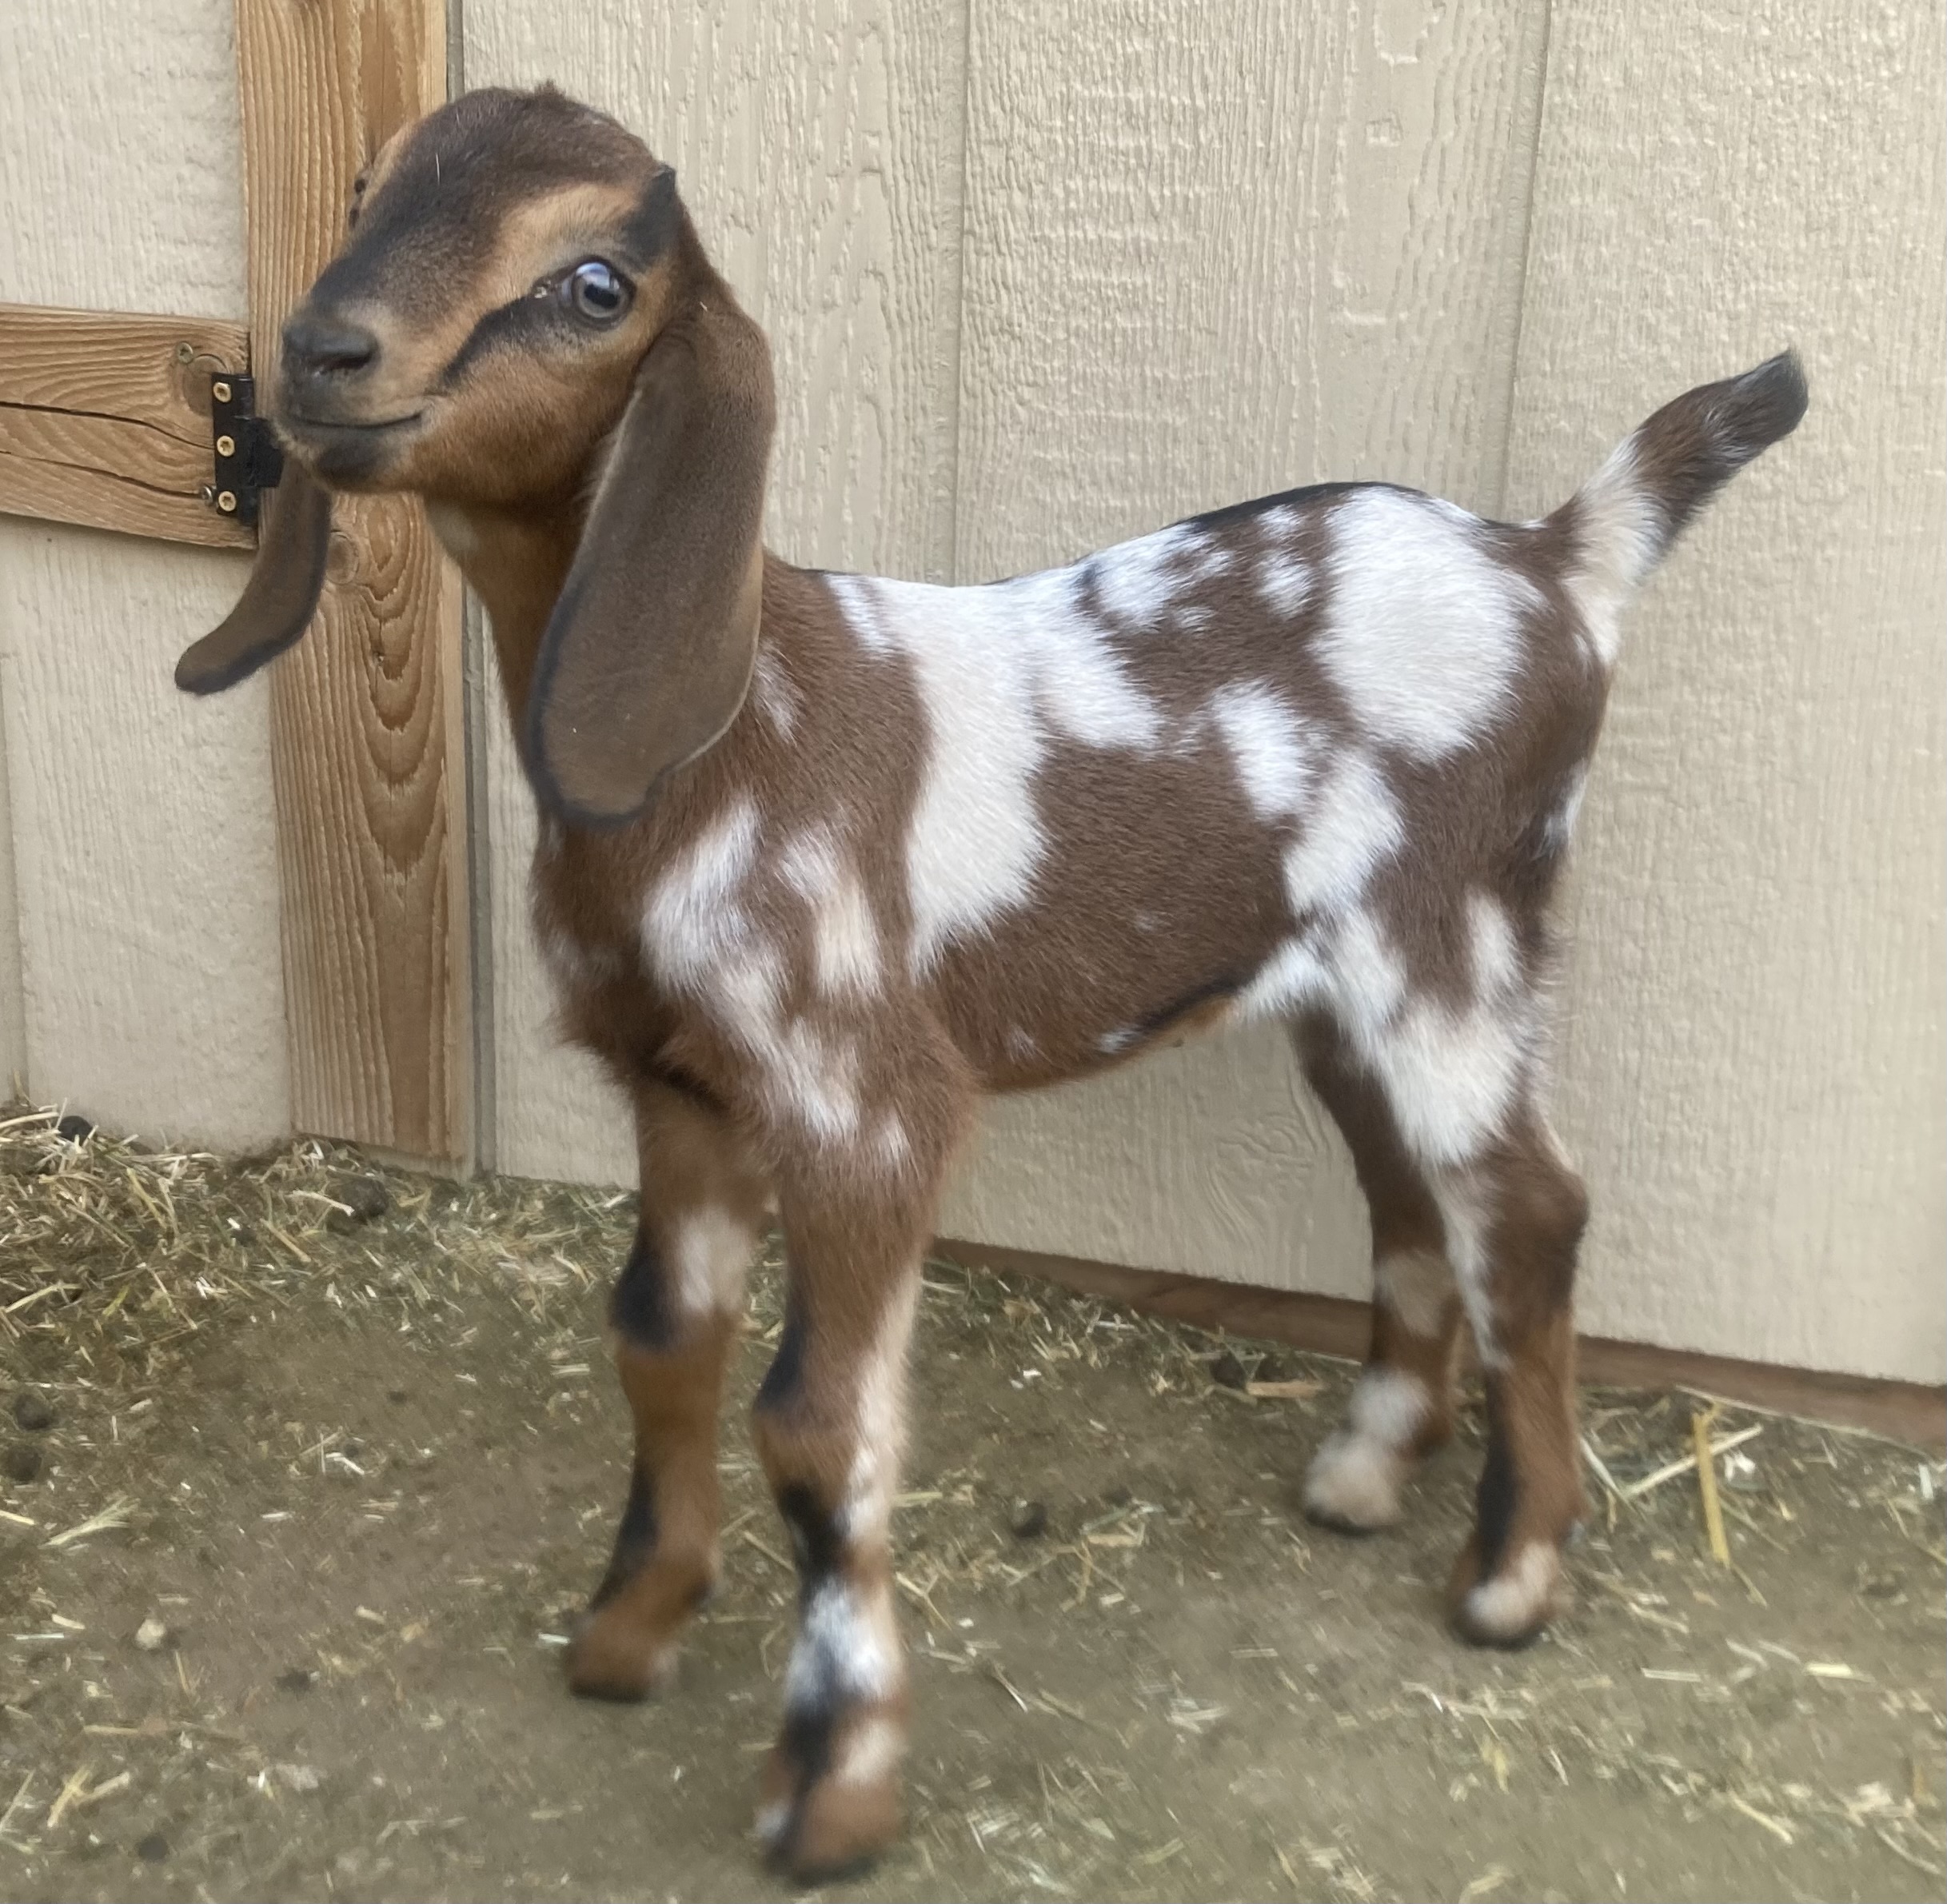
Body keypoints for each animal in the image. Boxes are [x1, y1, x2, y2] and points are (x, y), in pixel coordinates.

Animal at [175, 85, 1798, 1869]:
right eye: (362, 190)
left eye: (595, 282)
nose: (319, 349)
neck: (733, 726)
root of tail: (1560, 561)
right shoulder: (678, 1084)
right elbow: (656, 1335)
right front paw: (628, 1630)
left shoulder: (864, 1102)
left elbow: (820, 1423)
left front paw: (834, 1782)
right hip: (1338, 988)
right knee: (1406, 1185)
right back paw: (1370, 1468)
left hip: (1454, 938)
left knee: (1526, 1204)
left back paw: (1512, 1572)